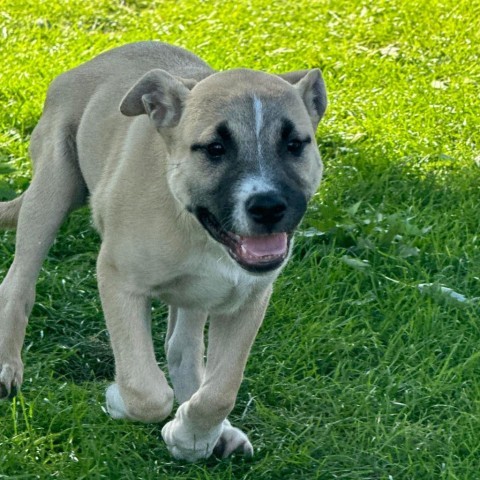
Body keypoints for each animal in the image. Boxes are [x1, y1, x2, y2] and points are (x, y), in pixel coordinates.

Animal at [0, 42, 326, 462]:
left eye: (294, 145)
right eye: (215, 149)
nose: (268, 206)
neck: (197, 231)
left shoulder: (247, 301)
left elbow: (220, 390)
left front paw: (192, 437)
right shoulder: (117, 278)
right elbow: (146, 392)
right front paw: (119, 399)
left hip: (200, 294)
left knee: (182, 348)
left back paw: (216, 432)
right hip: (52, 190)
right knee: (17, 286)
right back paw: (7, 367)